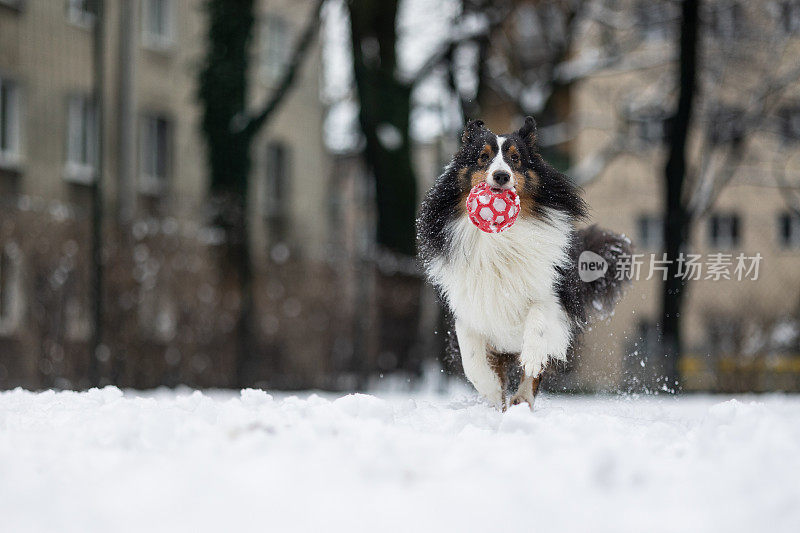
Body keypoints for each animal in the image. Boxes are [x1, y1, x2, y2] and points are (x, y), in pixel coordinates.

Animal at [418, 116, 632, 408]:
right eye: (483, 157)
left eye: (516, 158)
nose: (501, 176)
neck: (501, 238)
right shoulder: (470, 306)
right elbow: (471, 358)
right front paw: (490, 390)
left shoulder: (552, 294)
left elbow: (538, 319)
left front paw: (531, 359)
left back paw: (521, 398)